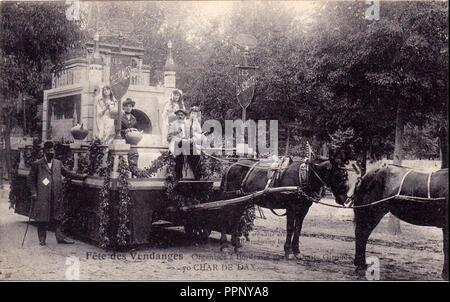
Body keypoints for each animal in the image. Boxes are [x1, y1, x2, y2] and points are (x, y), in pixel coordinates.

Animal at [216, 155, 360, 258]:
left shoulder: (303, 209)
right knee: (225, 217)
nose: (344, 198)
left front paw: (296, 251)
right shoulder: (291, 207)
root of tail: (231, 166)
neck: (304, 177)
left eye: (345, 175)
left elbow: (298, 228)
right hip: (231, 198)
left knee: (236, 218)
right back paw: (224, 244)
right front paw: (287, 250)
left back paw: (236, 243)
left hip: (241, 201)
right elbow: (290, 228)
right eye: (337, 175)